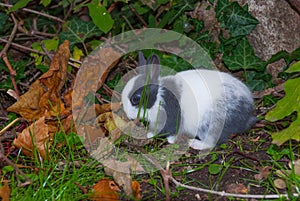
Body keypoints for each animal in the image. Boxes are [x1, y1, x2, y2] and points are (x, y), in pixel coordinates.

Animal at [120, 52, 256, 150]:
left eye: (135, 99)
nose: (127, 115)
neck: (158, 96)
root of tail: (248, 115)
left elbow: (167, 130)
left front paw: (154, 136)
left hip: (209, 125)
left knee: (212, 142)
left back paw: (194, 143)